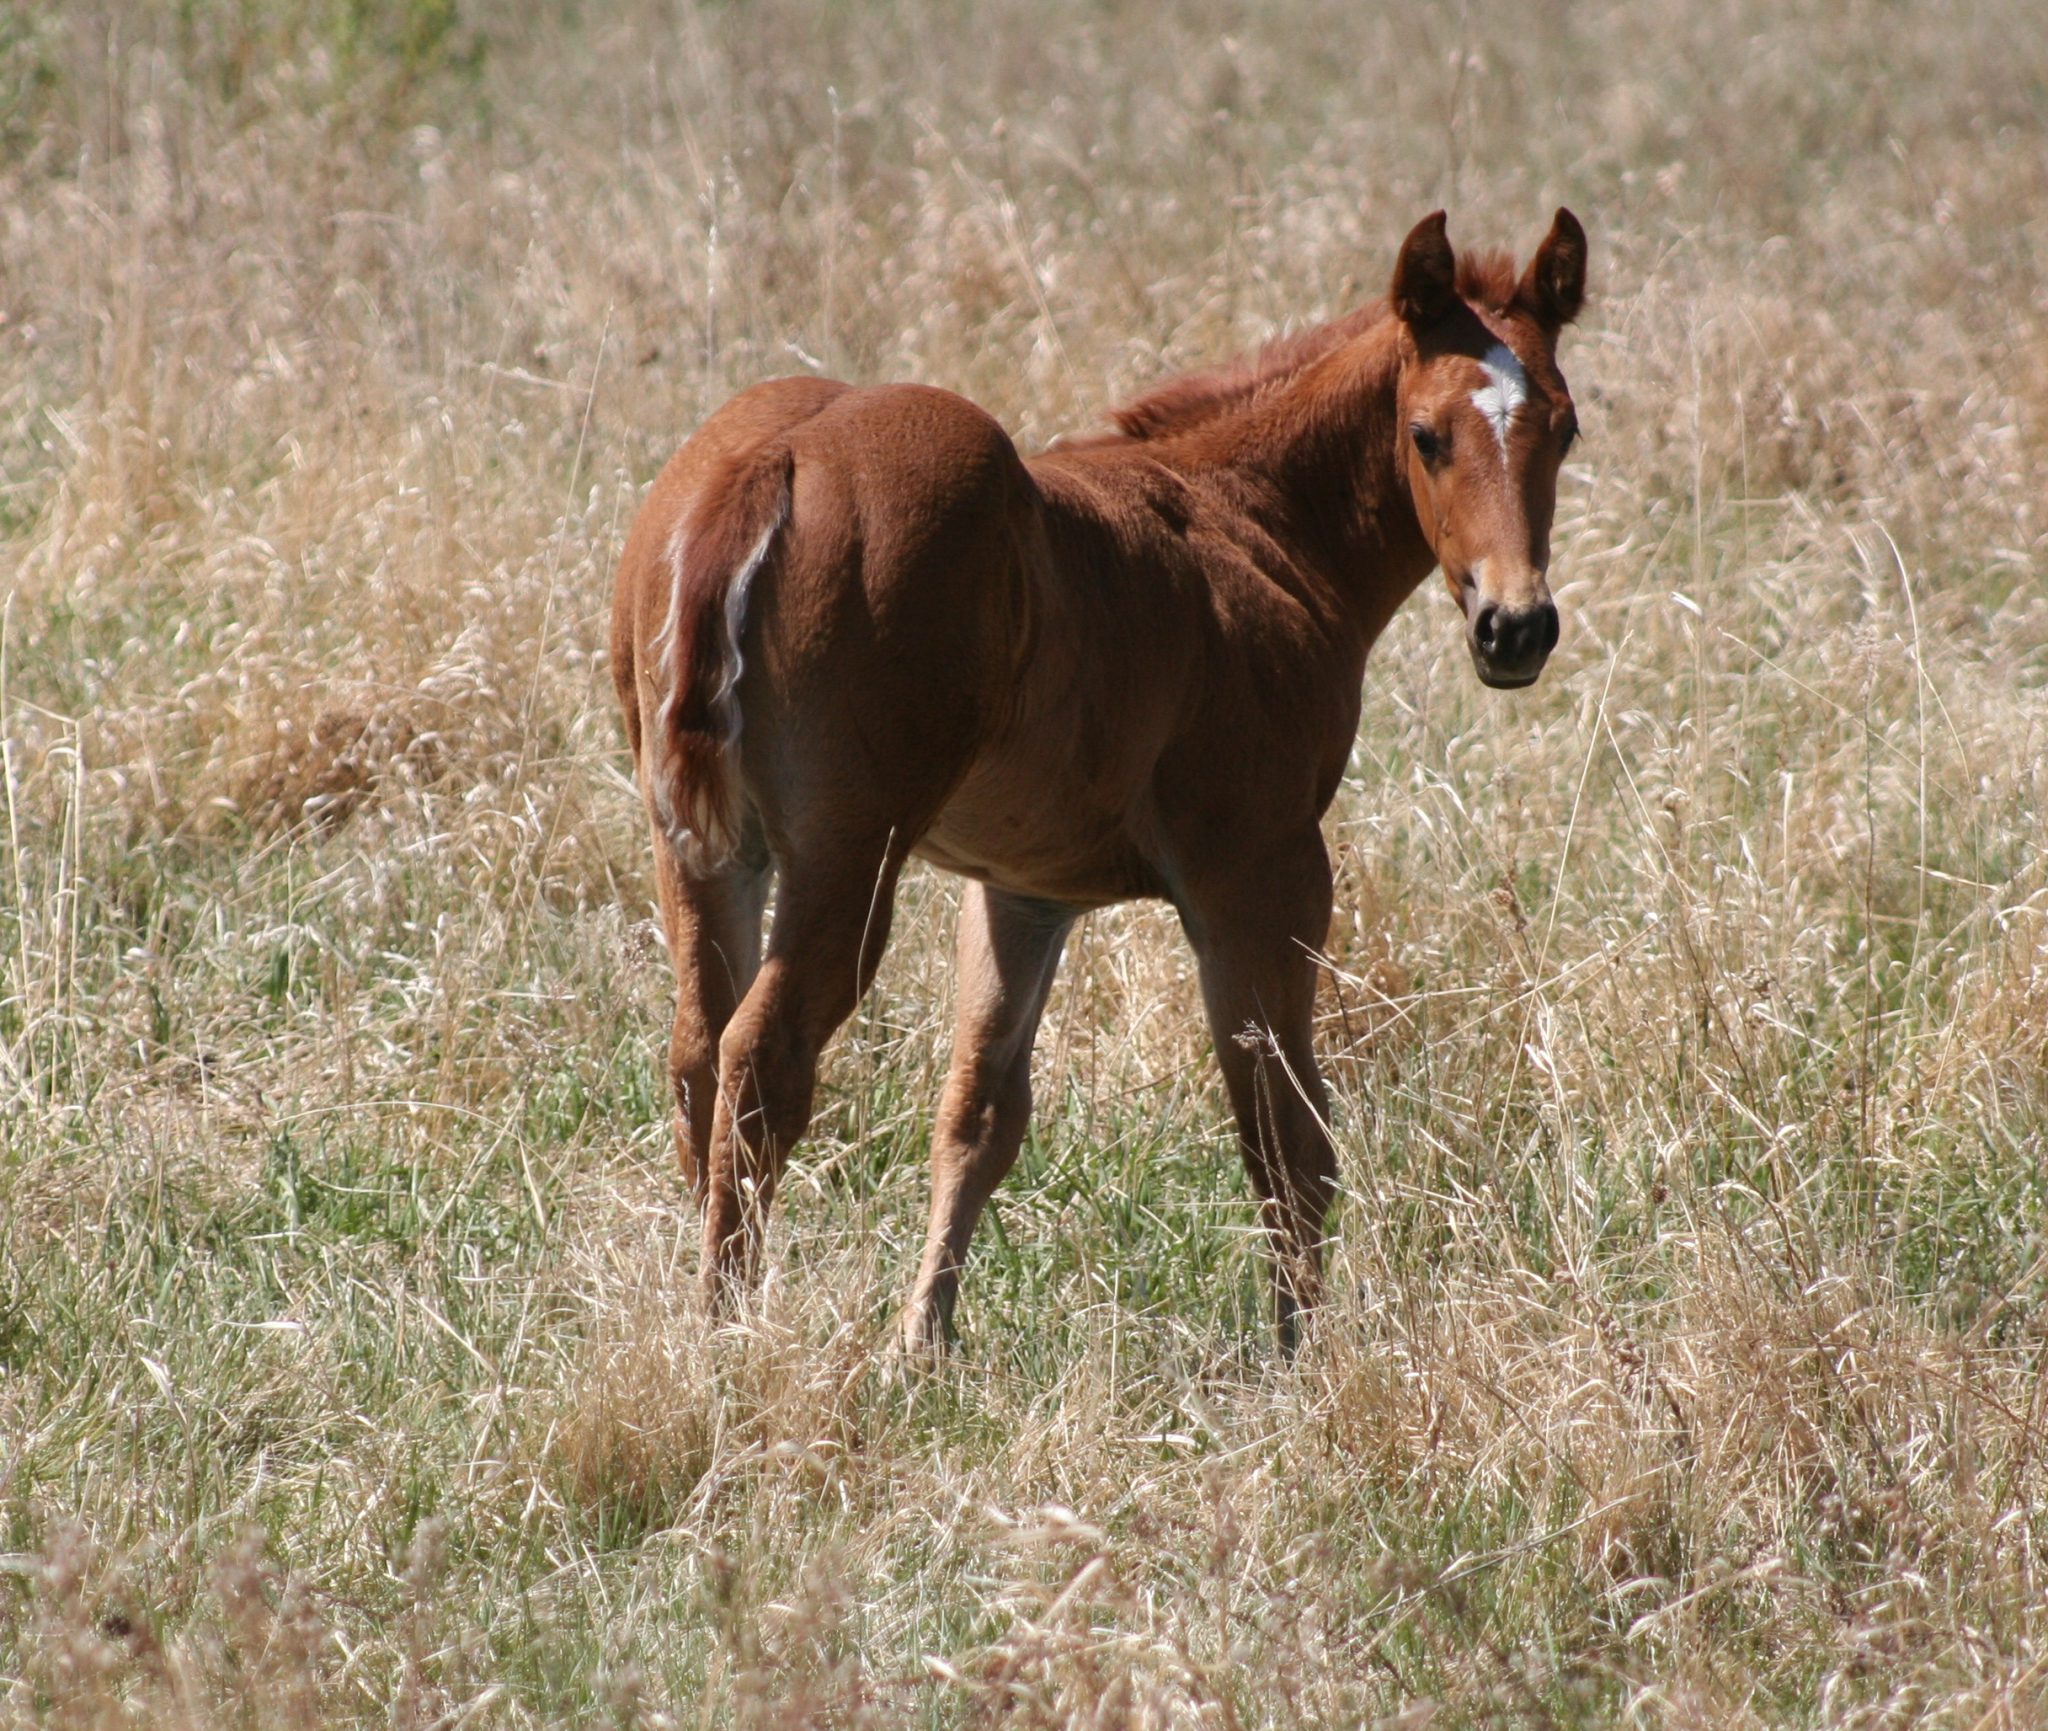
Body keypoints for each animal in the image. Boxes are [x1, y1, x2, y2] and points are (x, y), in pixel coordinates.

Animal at [606, 208, 1581, 1352]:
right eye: (1425, 435)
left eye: (1564, 429)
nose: (1514, 628)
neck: (1251, 520)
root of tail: (764, 465)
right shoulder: (1261, 875)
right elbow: (1285, 1134)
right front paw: (1301, 1355)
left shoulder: (1022, 891)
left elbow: (980, 1112)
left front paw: (923, 1345)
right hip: (847, 857)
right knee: (764, 1057)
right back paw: (726, 1327)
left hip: (701, 848)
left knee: (696, 1049)